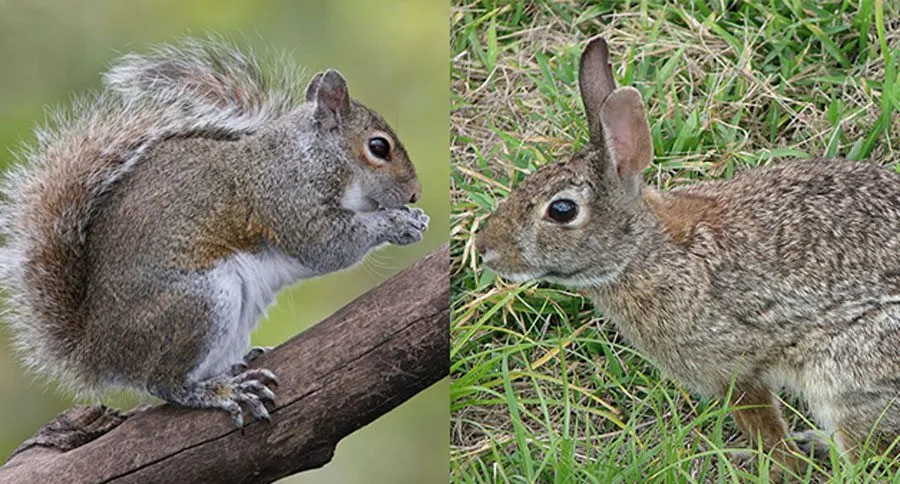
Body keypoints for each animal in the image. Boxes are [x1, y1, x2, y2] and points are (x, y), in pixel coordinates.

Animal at [0, 38, 429, 426]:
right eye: (379, 147)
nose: (414, 193)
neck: (309, 156)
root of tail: (97, 350)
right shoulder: (286, 201)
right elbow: (328, 245)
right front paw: (399, 223)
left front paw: (414, 217)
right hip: (200, 303)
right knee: (163, 383)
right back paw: (222, 391)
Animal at [476, 37, 900, 475]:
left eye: (561, 210)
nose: (484, 248)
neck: (645, 252)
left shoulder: (732, 368)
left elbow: (764, 429)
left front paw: (780, 469)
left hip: (846, 376)